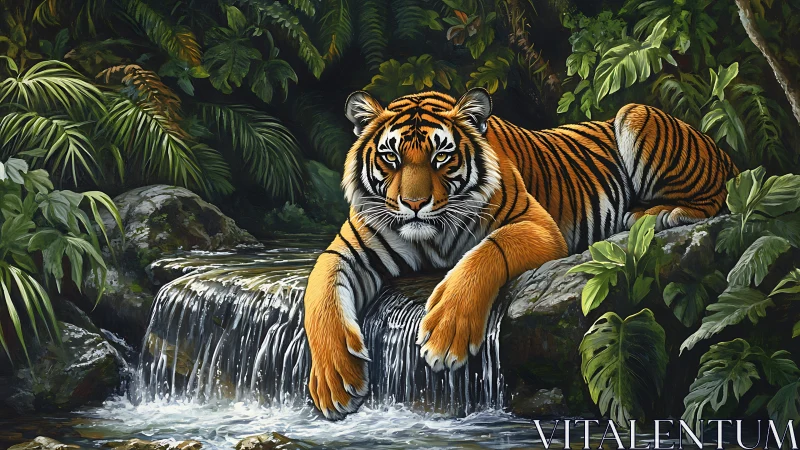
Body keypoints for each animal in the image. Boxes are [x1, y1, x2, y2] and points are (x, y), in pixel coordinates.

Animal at [303, 88, 738, 420]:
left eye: (441, 156)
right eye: (390, 157)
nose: (413, 204)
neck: (430, 237)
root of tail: (721, 149)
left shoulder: (537, 225)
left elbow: (486, 253)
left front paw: (446, 333)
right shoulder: (347, 250)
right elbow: (319, 291)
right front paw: (334, 380)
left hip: (637, 115)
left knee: (713, 199)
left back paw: (652, 214)